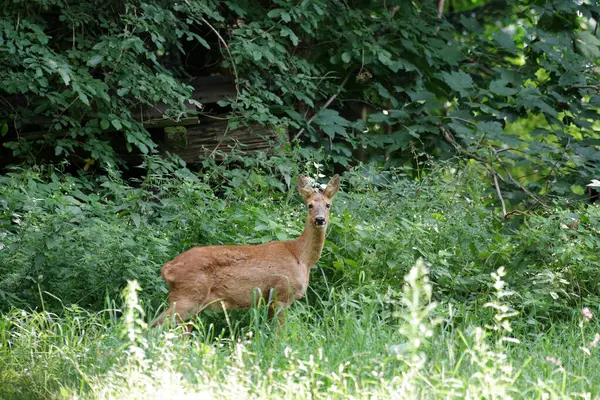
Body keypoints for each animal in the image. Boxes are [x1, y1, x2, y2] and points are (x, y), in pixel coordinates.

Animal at [152, 175, 340, 328]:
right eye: (309, 205)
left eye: (328, 205)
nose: (320, 219)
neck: (301, 256)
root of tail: (167, 268)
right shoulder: (282, 294)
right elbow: (279, 334)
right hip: (188, 296)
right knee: (155, 325)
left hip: (193, 302)